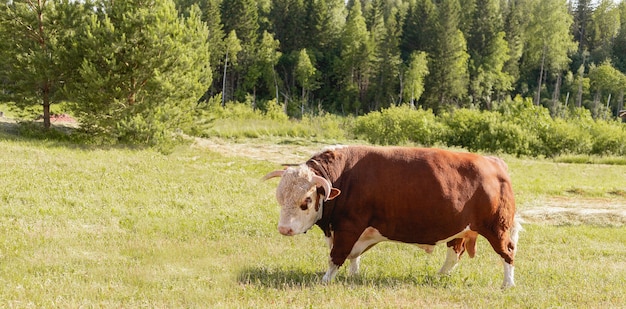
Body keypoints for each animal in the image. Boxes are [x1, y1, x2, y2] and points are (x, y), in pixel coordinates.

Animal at [260, 146, 520, 288]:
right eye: (280, 198)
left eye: (305, 201)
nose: (284, 229)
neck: (344, 176)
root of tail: (494, 161)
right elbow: (352, 255)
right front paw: (353, 275)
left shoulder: (349, 227)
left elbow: (337, 255)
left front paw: (325, 280)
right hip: (460, 229)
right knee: (454, 253)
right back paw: (438, 276)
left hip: (497, 228)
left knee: (507, 251)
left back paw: (508, 283)